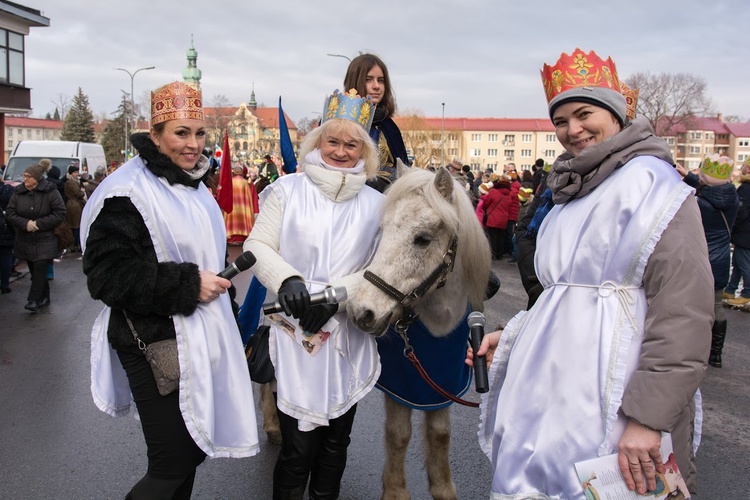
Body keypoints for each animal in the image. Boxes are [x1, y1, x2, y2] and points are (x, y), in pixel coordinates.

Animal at [352, 162, 494, 498]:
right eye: (382, 231)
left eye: (423, 239)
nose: (362, 312)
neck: (438, 325)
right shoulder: (399, 388)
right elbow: (399, 434)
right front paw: (395, 490)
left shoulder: (442, 388)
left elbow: (441, 434)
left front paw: (442, 486)